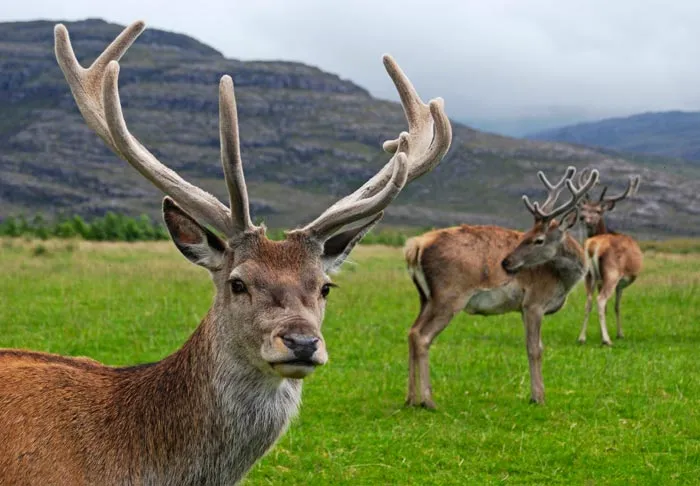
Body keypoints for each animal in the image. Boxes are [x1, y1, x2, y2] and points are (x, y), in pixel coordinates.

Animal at [403, 166, 599, 408]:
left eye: (538, 239)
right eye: (526, 235)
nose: (506, 262)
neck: (562, 280)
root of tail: (415, 247)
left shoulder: (524, 308)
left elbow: (534, 346)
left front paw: (536, 394)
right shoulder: (534, 302)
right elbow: (535, 348)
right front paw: (538, 397)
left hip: (425, 297)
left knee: (412, 332)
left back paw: (410, 398)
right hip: (448, 296)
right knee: (423, 336)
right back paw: (428, 401)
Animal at [576, 173, 643, 346]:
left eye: (598, 210)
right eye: (584, 209)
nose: (583, 218)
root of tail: (593, 245)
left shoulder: (600, 280)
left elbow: (609, 307)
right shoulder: (620, 283)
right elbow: (617, 306)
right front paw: (619, 334)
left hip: (589, 275)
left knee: (588, 301)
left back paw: (582, 337)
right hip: (612, 273)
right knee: (600, 300)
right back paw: (607, 340)